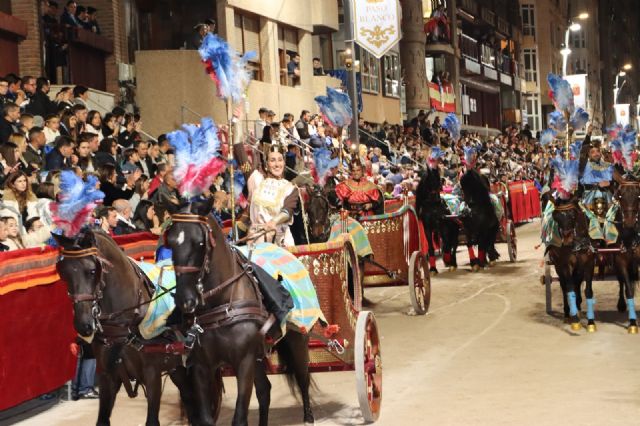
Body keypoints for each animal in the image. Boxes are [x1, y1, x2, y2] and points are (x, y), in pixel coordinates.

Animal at [53, 230, 196, 426]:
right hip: (178, 366)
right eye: (63, 273)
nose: (83, 325)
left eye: (92, 271)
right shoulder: (107, 376)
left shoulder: (152, 374)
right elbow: (102, 420)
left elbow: (152, 420)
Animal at [165, 200, 316, 426]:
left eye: (200, 243)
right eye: (171, 243)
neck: (221, 306)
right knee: (265, 390)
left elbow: (239, 417)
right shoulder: (201, 366)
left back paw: (308, 416)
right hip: (259, 354)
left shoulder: (244, 361)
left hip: (296, 339)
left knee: (303, 377)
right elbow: (206, 418)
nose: (185, 299)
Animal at [544, 198, 596, 332]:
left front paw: (591, 322)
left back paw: (577, 307)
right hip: (558, 266)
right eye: (556, 217)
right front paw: (575, 321)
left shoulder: (588, 264)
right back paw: (568, 314)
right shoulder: (566, 265)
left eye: (573, 215)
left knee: (576, 283)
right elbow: (570, 289)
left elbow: (588, 291)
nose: (566, 239)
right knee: (565, 286)